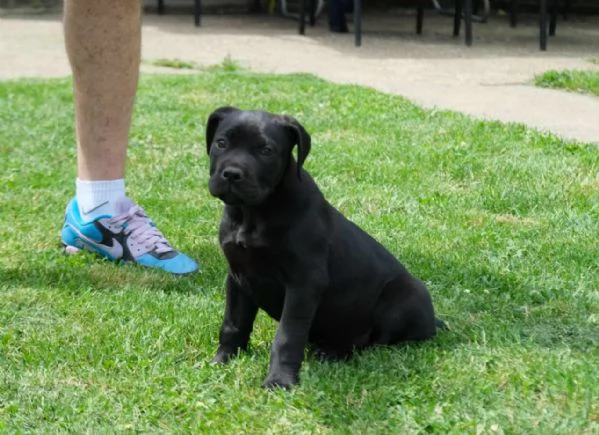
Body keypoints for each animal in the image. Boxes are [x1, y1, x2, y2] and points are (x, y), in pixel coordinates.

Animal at [209, 107, 442, 390]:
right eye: (221, 143)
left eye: (266, 150)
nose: (231, 174)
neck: (252, 214)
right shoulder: (238, 277)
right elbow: (233, 323)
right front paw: (222, 360)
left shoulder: (304, 284)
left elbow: (287, 336)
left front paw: (279, 381)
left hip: (407, 294)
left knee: (373, 343)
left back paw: (334, 353)